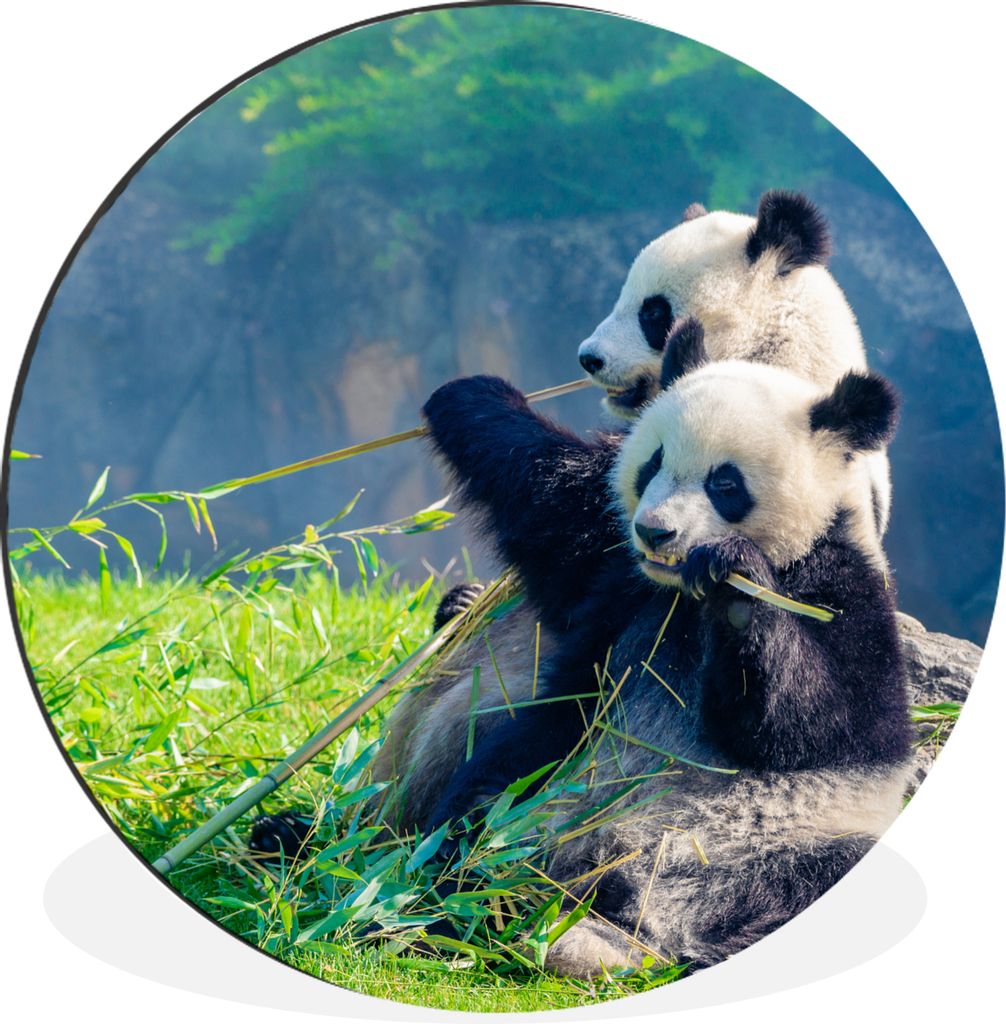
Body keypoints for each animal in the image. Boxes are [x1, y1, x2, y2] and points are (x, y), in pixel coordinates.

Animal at [416, 345, 911, 977]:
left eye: (725, 482)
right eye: (651, 464)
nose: (655, 532)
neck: (683, 596)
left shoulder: (844, 585)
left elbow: (825, 722)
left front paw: (737, 584)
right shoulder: (621, 589)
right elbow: (553, 514)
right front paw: (471, 395)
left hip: (781, 844)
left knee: (832, 874)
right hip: (543, 794)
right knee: (481, 808)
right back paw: (447, 905)